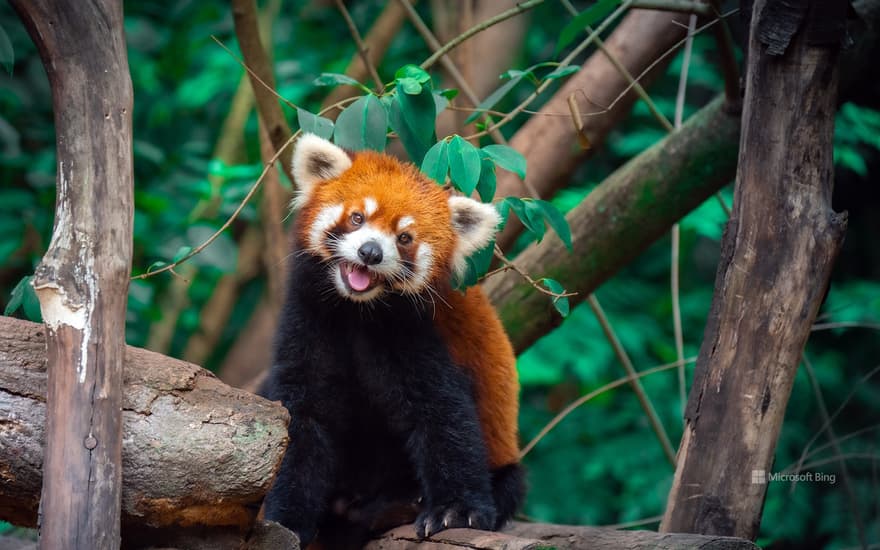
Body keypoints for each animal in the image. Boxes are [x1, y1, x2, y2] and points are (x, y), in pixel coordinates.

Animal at [260, 133, 524, 548]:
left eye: (404, 238)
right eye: (357, 217)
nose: (370, 252)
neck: (357, 311)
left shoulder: (415, 334)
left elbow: (442, 413)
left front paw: (455, 510)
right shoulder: (308, 320)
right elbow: (302, 418)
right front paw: (285, 521)